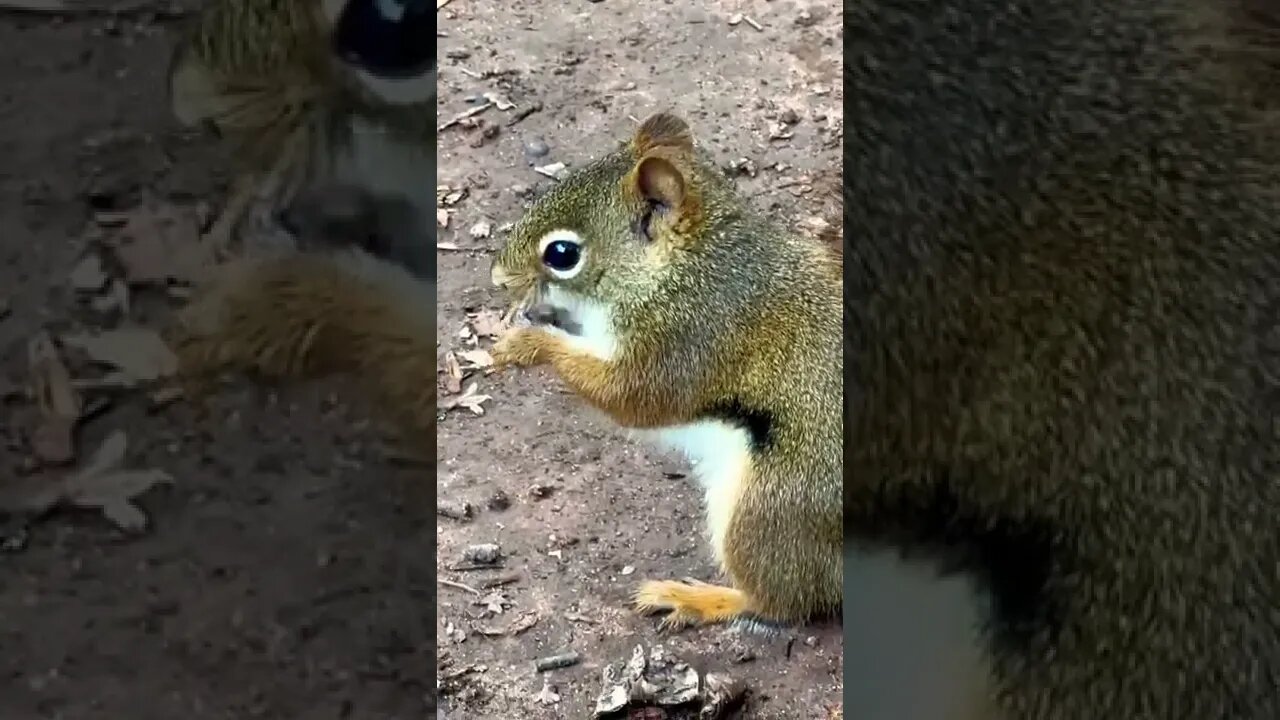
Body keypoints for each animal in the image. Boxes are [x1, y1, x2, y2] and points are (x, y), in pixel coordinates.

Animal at [489, 113, 844, 628]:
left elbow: (634, 398)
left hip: (770, 511)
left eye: (561, 254)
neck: (685, 266)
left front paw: (529, 344)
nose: (497, 278)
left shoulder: (685, 338)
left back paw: (698, 598)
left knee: (783, 602)